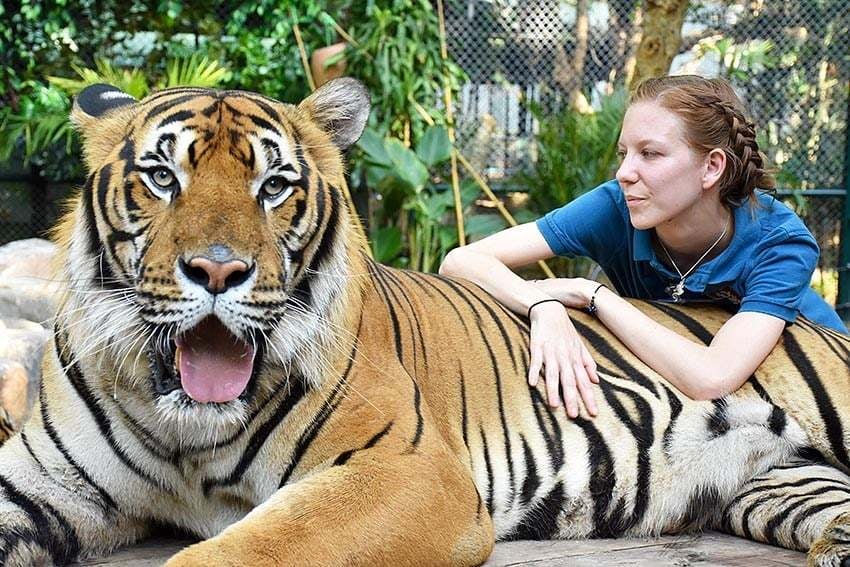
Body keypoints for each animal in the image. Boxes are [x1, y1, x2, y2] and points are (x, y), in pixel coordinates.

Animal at [0, 77, 849, 567]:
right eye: (160, 176)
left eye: (274, 184)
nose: (216, 271)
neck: (183, 428)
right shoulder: (39, 480)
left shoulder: (407, 471)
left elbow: (241, 550)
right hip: (784, 485)